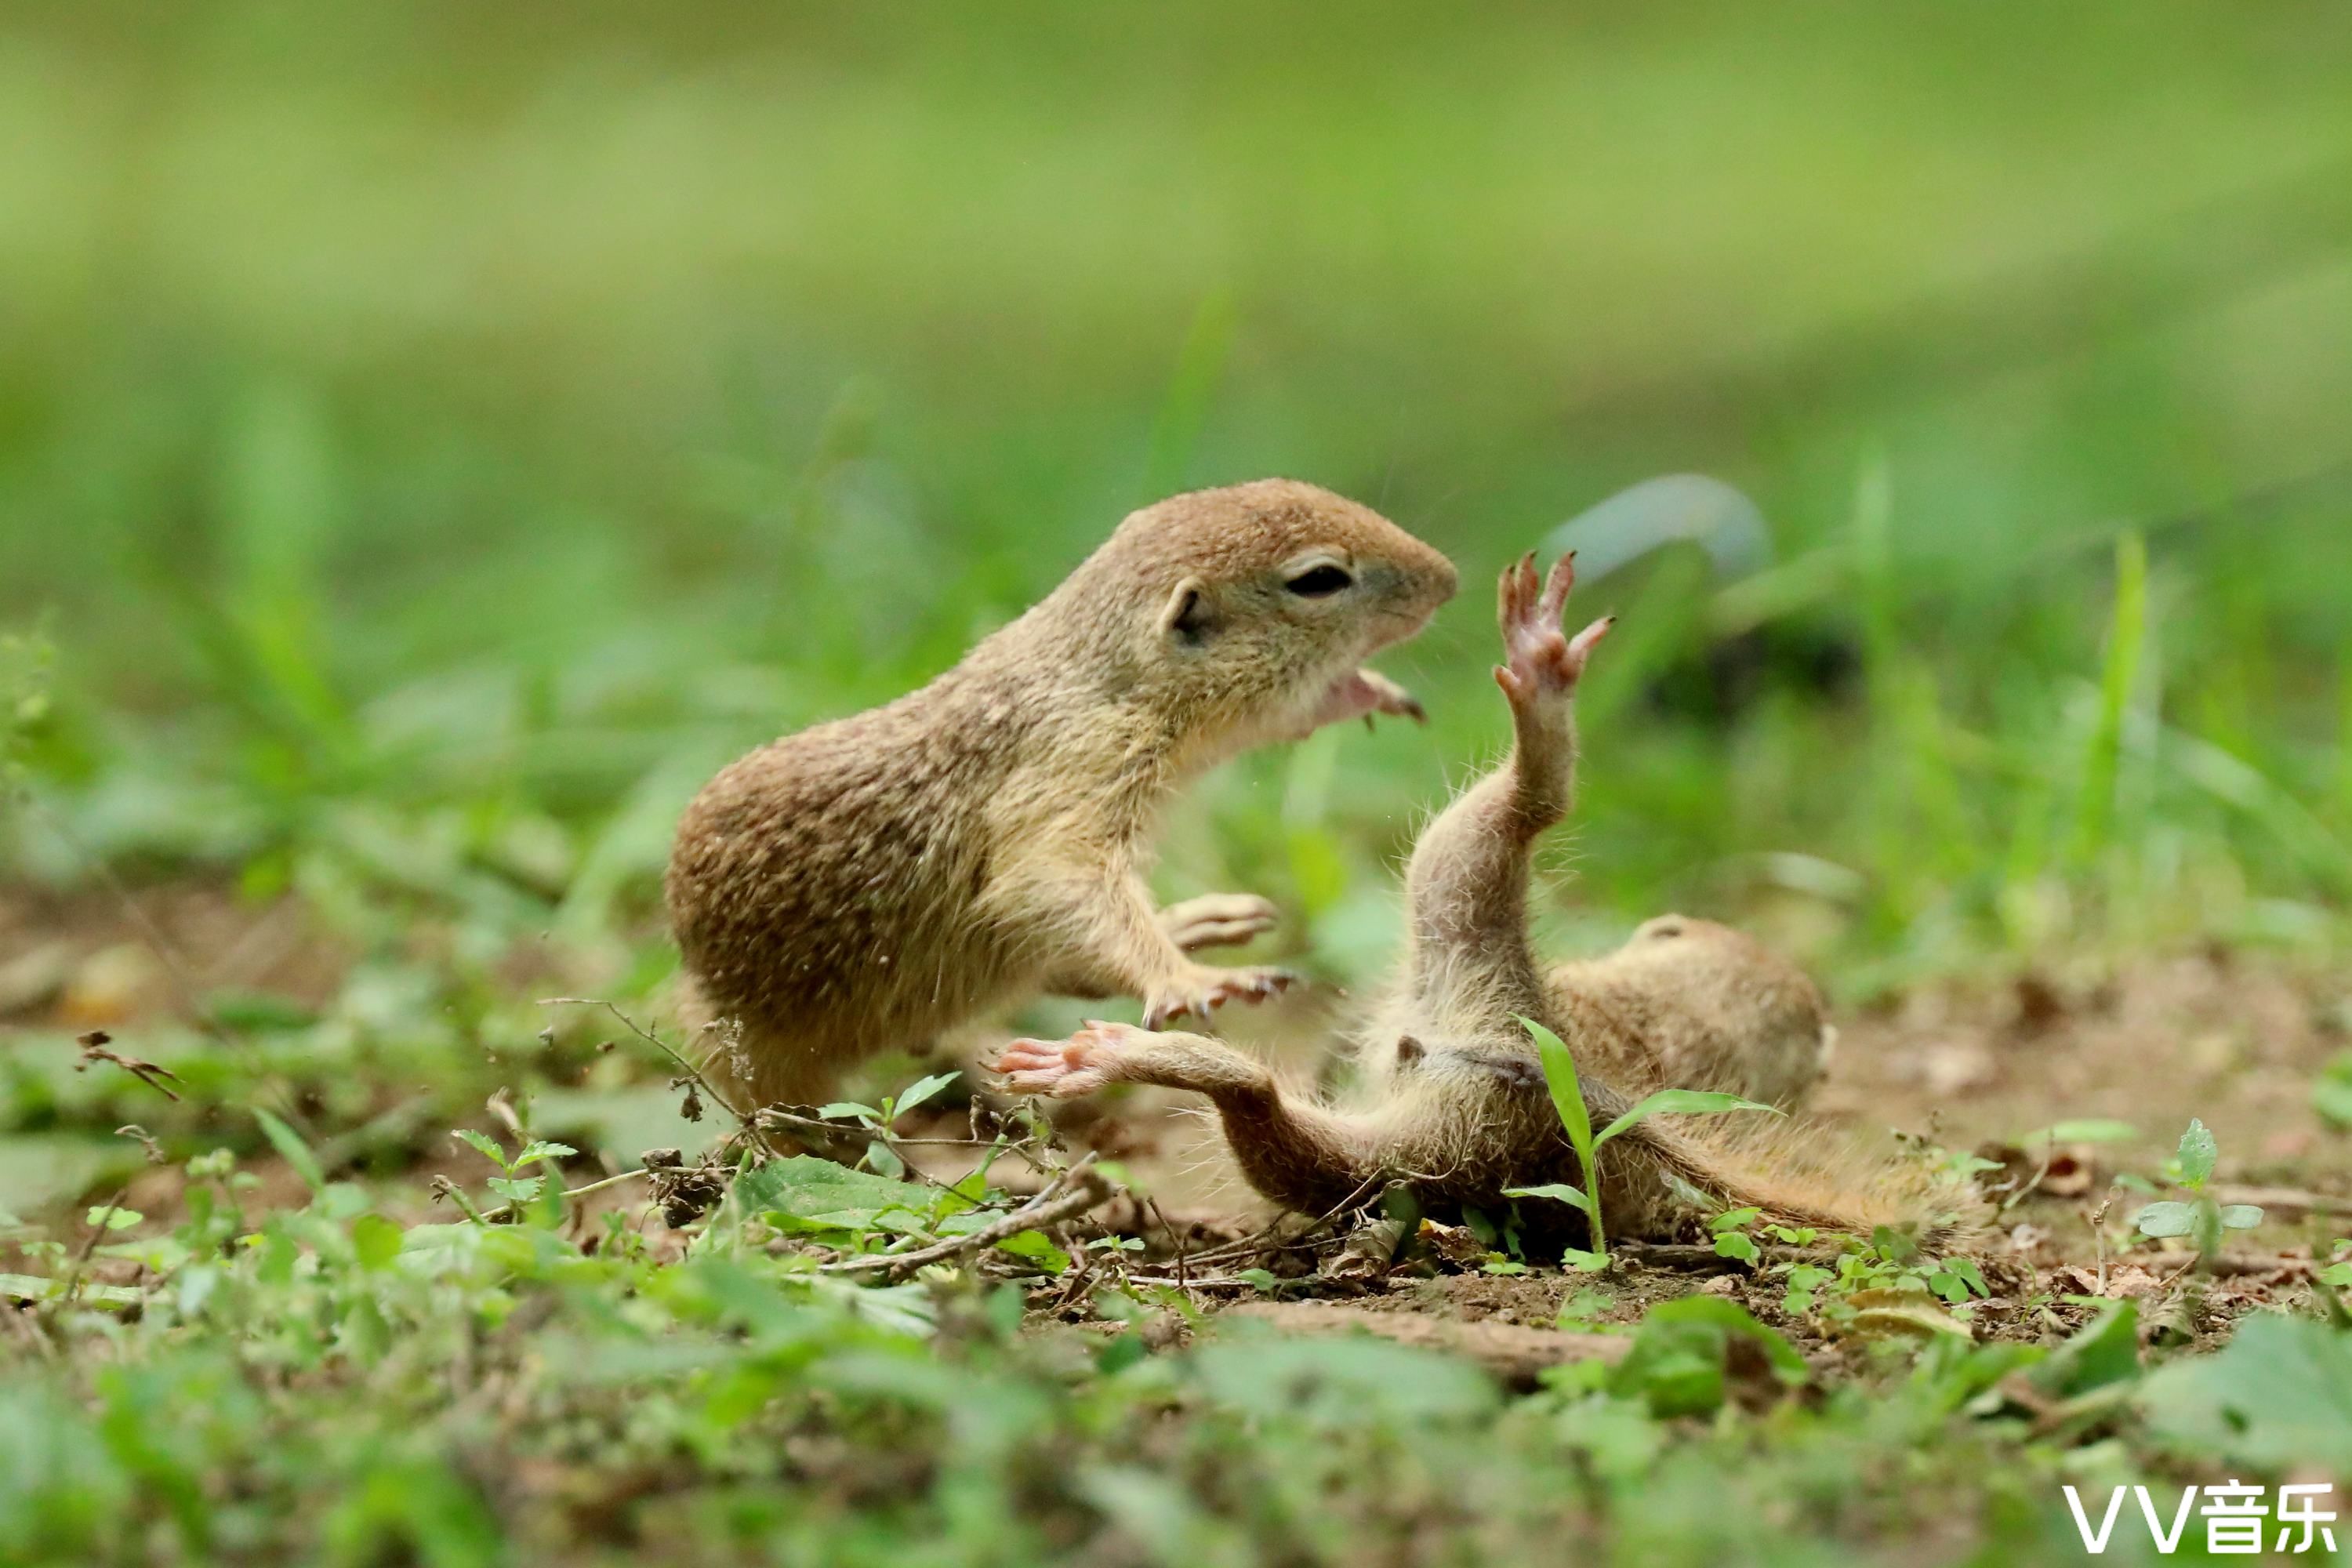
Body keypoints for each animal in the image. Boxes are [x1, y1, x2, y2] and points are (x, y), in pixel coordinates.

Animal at [663, 479, 1458, 1105]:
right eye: (1320, 579)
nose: (1448, 577)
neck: (1095, 673)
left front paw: (1369, 692)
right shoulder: (1076, 768)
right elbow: (1049, 876)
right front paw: (1187, 979)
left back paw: (1194, 919)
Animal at [993, 552, 1966, 1250]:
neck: (1664, 1016)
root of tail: (1521, 1040)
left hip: (1431, 1022)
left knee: (1263, 1106)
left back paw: (1109, 1057)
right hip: (1459, 903)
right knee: (1529, 807)